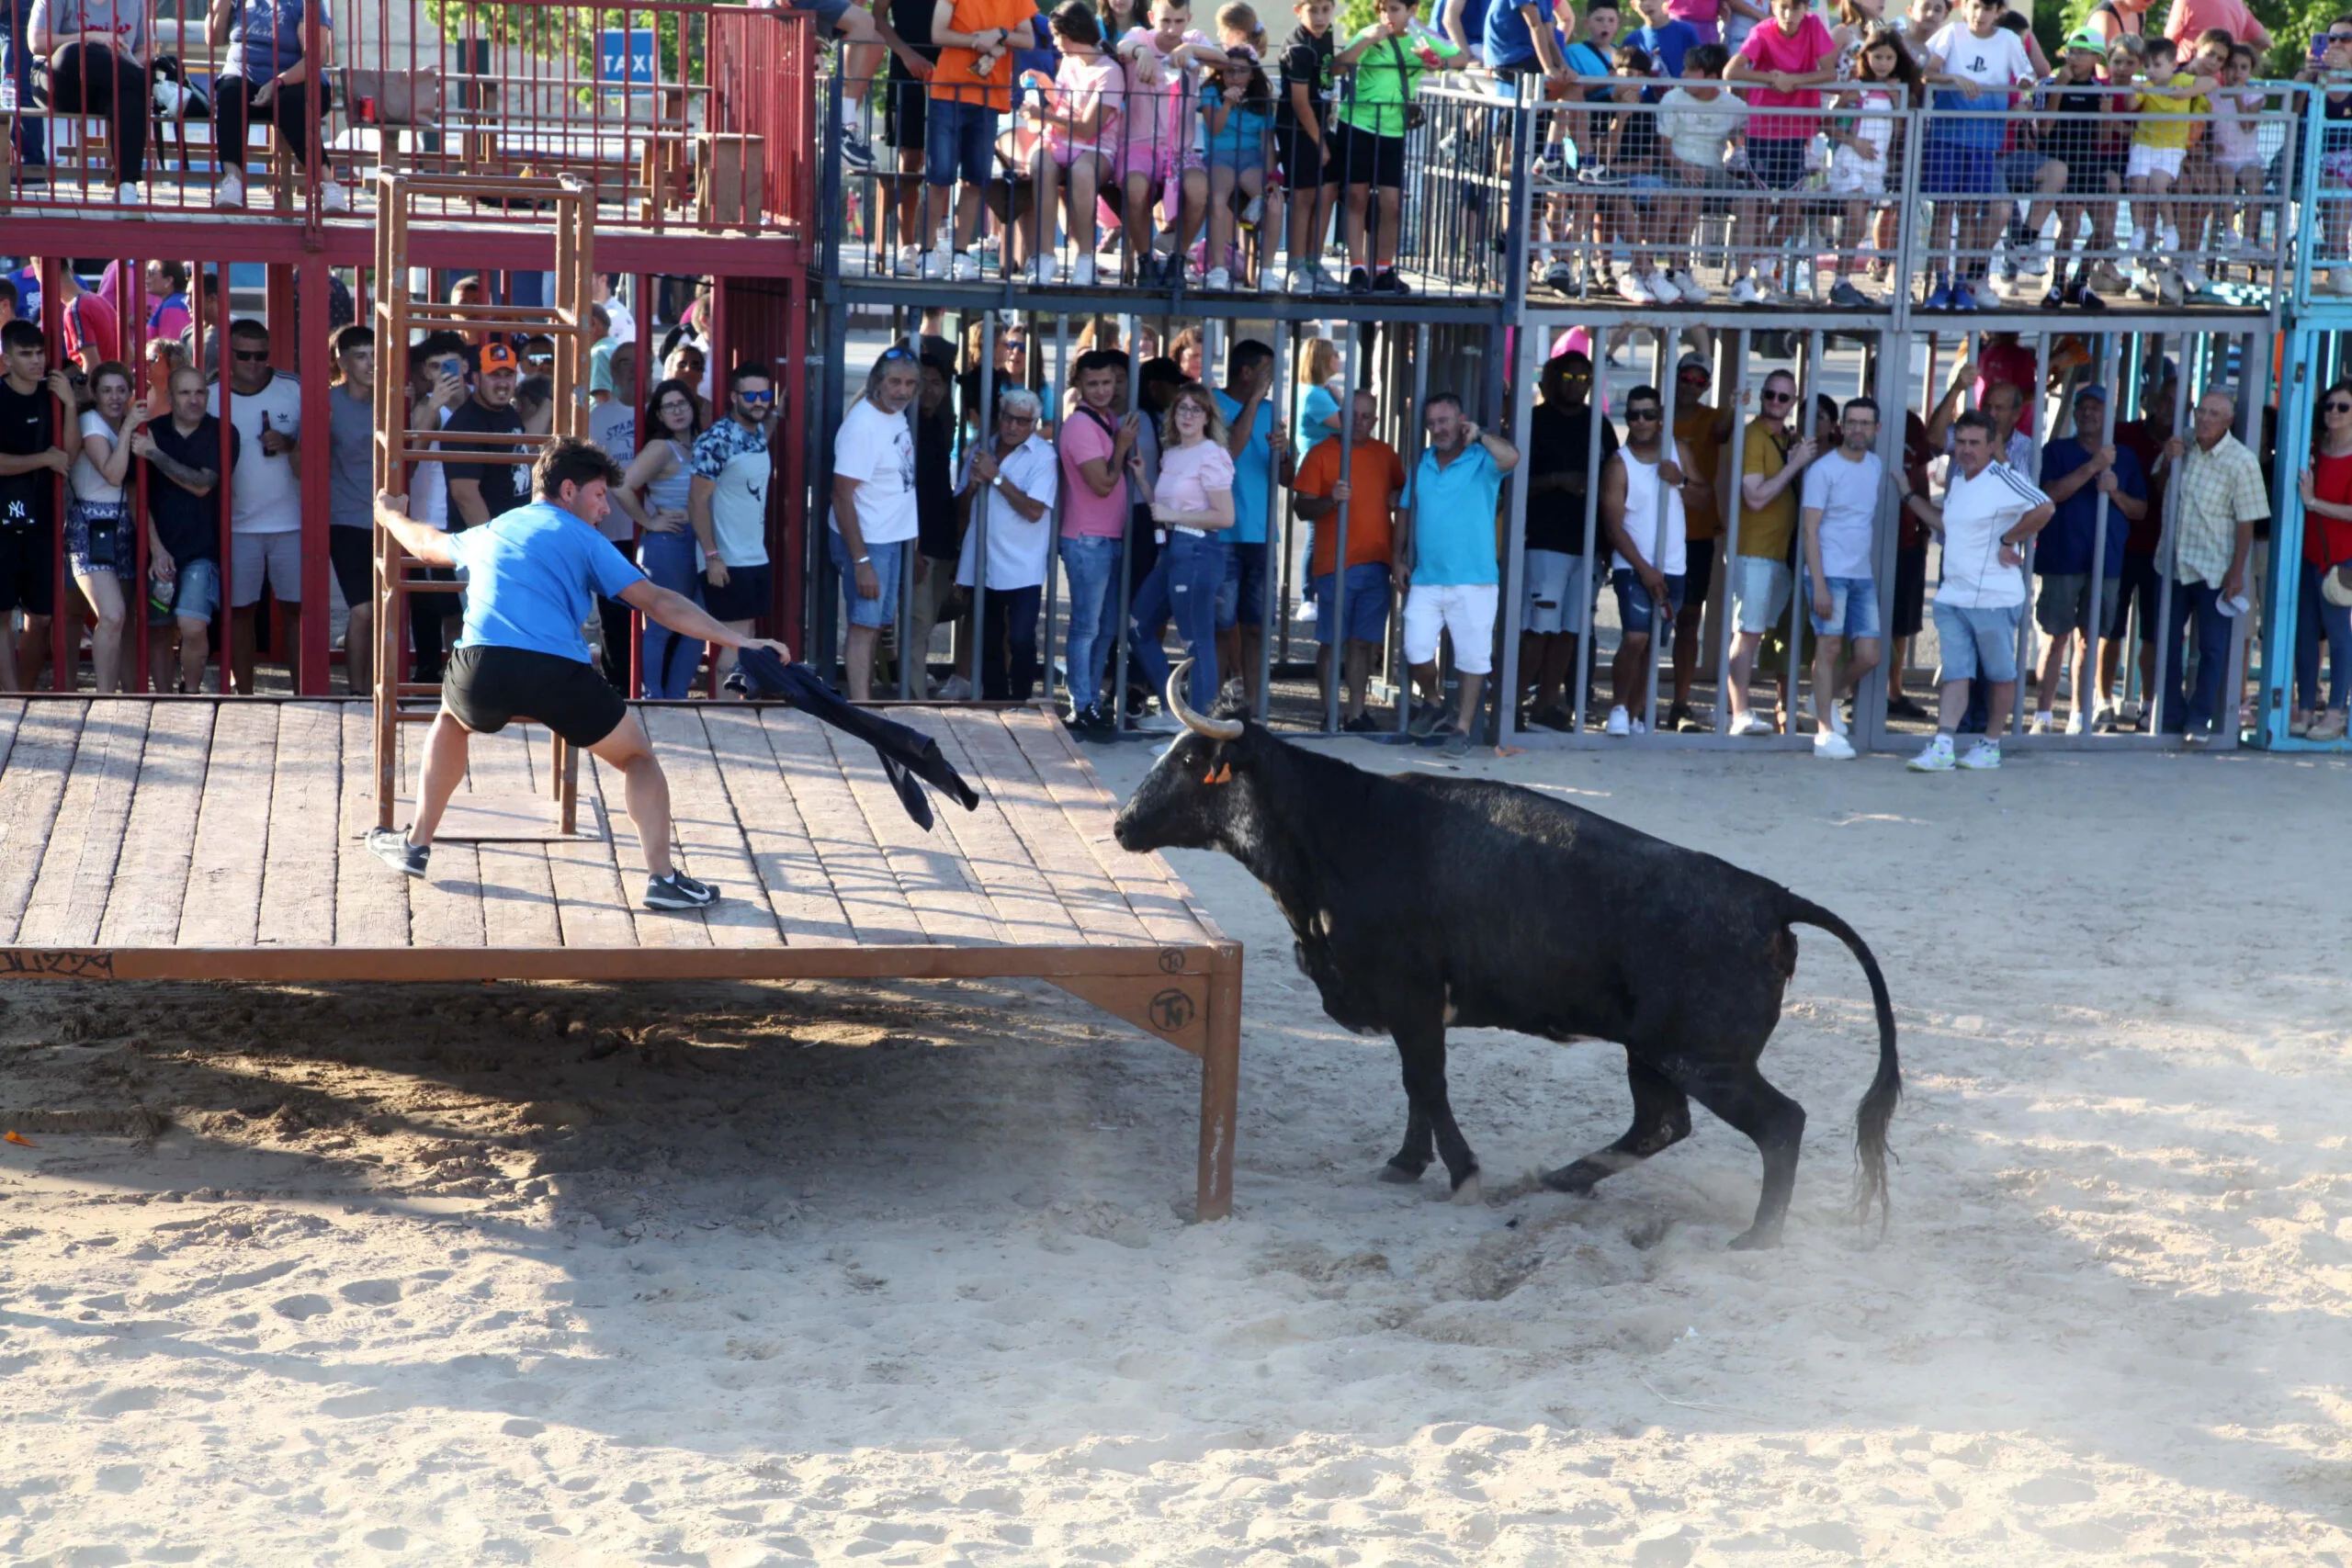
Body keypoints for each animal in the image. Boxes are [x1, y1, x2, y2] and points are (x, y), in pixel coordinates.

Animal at [1110, 671, 1900, 1250]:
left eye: (1190, 760)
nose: (1120, 824)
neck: (1344, 829)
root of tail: (1770, 898)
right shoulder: (1411, 1007)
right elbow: (1417, 1086)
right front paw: (1408, 1163)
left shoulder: (1411, 996)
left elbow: (1426, 1082)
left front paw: (1462, 1173)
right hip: (1652, 1051)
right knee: (1662, 1123)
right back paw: (1566, 1179)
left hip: (1703, 1057)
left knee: (1780, 1123)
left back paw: (1757, 1237)